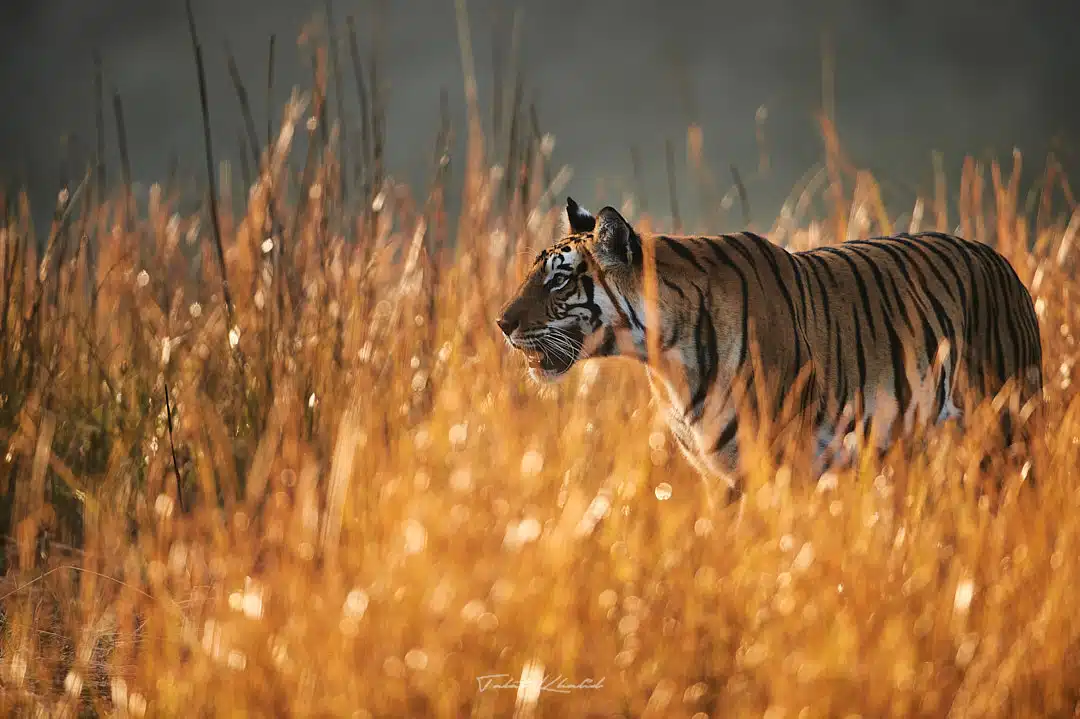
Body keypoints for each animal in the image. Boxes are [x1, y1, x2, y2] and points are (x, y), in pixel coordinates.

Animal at [496, 197, 1044, 505]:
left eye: (559, 279)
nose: (501, 322)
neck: (664, 360)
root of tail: (1005, 263)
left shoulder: (779, 462)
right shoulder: (717, 473)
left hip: (1007, 426)